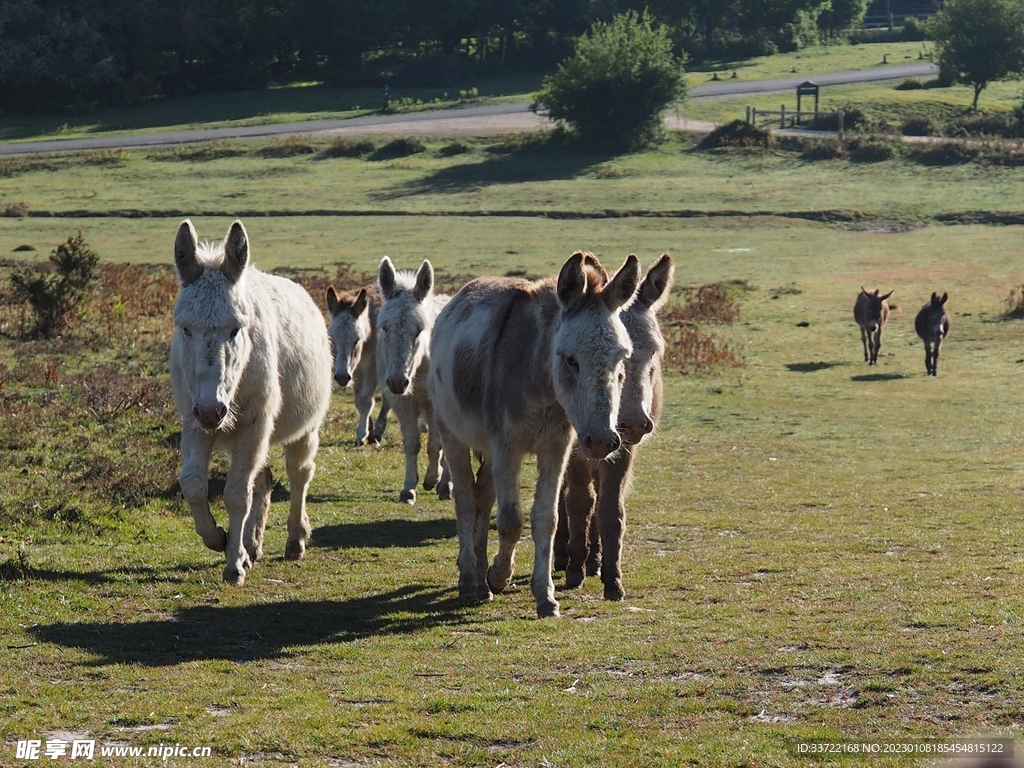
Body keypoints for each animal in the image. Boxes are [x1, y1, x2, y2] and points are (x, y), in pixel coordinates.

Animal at [170, 219, 332, 586]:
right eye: (185, 328)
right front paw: (219, 539)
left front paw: (233, 566)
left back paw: (294, 540)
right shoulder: (194, 424)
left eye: (235, 329)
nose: (212, 410)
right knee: (263, 479)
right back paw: (251, 544)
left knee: (299, 475)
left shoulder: (253, 427)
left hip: (303, 429)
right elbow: (194, 485)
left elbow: (235, 495)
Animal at [326, 284, 391, 446]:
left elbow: (365, 400)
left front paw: (362, 435)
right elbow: (358, 400)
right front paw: (367, 428)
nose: (341, 377)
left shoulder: (371, 368)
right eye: (332, 338)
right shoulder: (355, 371)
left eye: (357, 340)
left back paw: (377, 433)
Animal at [376, 256, 452, 504]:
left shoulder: (434, 406)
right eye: (384, 328)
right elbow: (412, 444)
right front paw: (409, 488)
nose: (397, 382)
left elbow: (435, 445)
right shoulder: (402, 403)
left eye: (419, 330)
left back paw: (445, 484)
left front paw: (434, 479)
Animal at [429, 251, 640, 618]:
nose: (603, 441)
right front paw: (500, 575)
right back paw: (471, 580)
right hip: (452, 433)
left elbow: (547, 518)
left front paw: (545, 596)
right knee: (466, 499)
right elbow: (511, 520)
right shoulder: (507, 447)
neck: (542, 383)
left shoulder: (556, 448)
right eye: (570, 360)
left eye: (622, 358)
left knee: (483, 494)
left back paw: (481, 575)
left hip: (489, 448)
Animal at [554, 253, 674, 601]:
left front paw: (611, 578)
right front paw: (574, 571)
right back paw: (564, 553)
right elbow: (580, 502)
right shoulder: (579, 449)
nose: (632, 423)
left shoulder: (623, 451)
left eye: (654, 352)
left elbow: (609, 509)